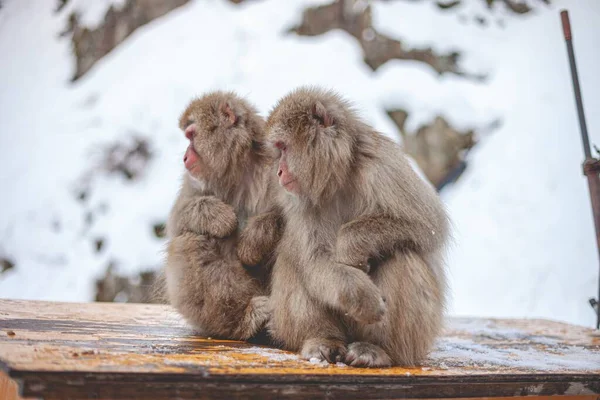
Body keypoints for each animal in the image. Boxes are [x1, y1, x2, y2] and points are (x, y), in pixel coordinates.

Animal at [164, 91, 284, 340]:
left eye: (191, 135)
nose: (185, 157)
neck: (240, 167)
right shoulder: (195, 180)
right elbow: (176, 219)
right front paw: (219, 217)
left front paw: (254, 239)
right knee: (190, 241)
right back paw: (242, 319)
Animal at [264, 86, 448, 368]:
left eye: (283, 147)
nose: (279, 172)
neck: (338, 177)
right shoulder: (299, 201)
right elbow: (315, 259)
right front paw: (361, 295)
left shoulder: (381, 164)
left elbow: (428, 223)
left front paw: (350, 248)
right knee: (295, 260)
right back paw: (322, 339)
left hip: (415, 339)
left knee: (402, 254)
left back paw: (376, 349)